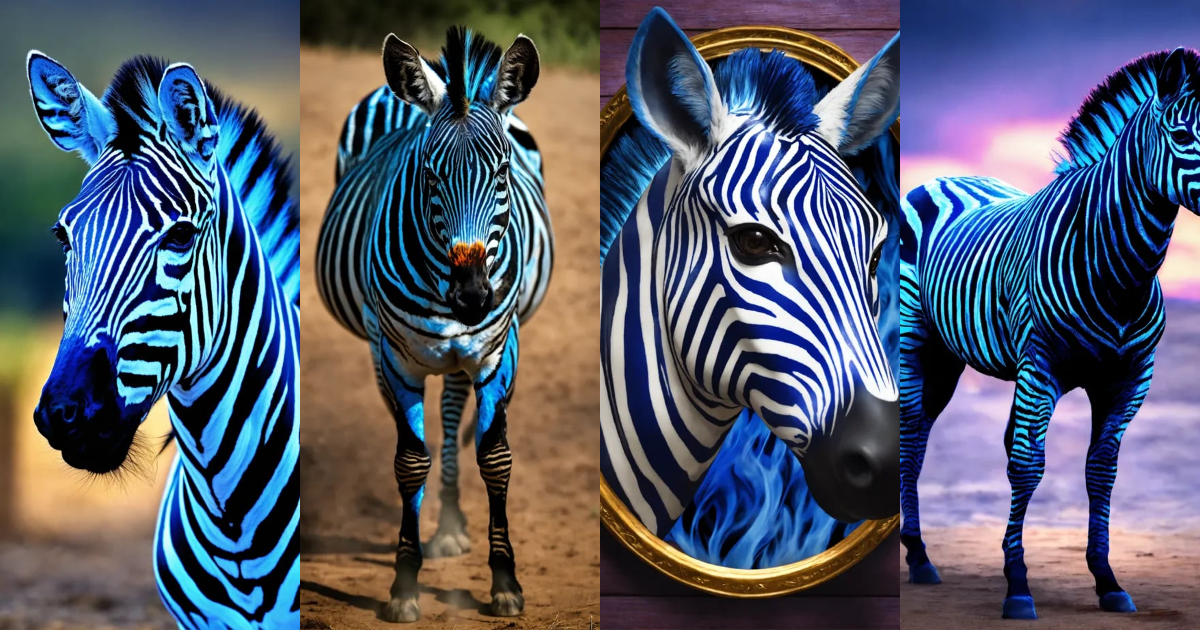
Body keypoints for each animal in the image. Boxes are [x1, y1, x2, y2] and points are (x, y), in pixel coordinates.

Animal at [314, 27, 551, 622]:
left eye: (502, 173)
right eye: (429, 176)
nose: (471, 296)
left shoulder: (496, 353)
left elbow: (495, 457)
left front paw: (505, 582)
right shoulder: (397, 357)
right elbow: (409, 460)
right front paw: (404, 582)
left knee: (449, 411)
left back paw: (447, 524)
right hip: (381, 344)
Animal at [899, 48, 1200, 619]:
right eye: (1181, 135)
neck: (1120, 273)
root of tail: (941, 177)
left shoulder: (1130, 380)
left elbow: (1100, 470)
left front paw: (1107, 580)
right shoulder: (1041, 368)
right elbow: (1027, 465)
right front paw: (1018, 586)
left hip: (949, 358)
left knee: (923, 433)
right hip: (914, 342)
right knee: (910, 436)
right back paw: (920, 559)